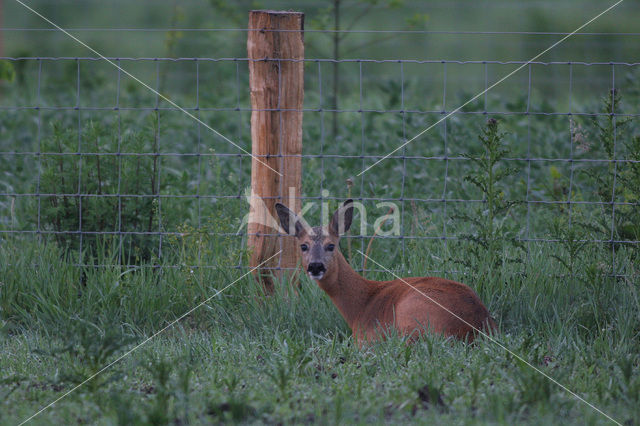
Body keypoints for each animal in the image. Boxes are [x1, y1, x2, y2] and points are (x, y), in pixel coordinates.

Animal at [272, 201, 498, 346]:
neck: (360, 305)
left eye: (331, 245)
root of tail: (477, 327)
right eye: (303, 246)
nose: (316, 266)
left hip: (413, 312)